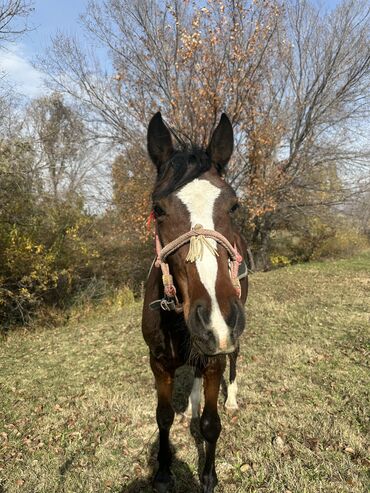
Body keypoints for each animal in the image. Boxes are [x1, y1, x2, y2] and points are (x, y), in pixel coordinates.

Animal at [142, 112, 249, 492]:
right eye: (158, 209)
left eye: (234, 205)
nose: (216, 319)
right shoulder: (159, 363)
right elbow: (163, 417)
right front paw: (162, 472)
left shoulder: (216, 354)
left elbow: (210, 425)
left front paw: (208, 477)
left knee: (232, 360)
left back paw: (232, 398)